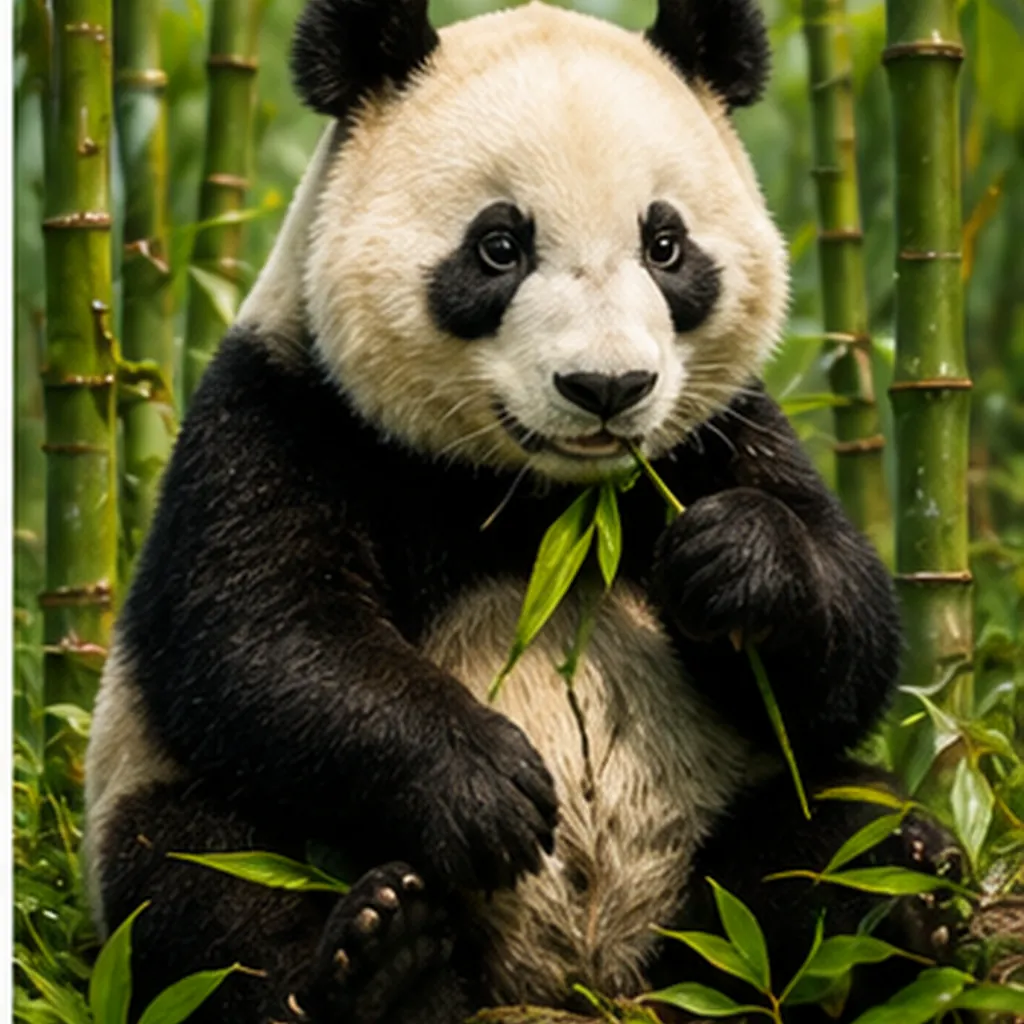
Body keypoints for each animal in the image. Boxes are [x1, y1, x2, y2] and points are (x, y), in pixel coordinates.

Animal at [84, 1, 952, 1022]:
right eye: (500, 246)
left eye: (665, 245)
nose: (608, 387)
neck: (542, 499)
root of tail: (586, 977)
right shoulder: (288, 410)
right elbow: (261, 635)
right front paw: (487, 789)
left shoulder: (721, 433)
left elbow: (844, 649)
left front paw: (738, 563)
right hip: (187, 810)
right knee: (199, 877)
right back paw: (383, 961)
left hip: (721, 862)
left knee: (837, 830)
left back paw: (900, 909)